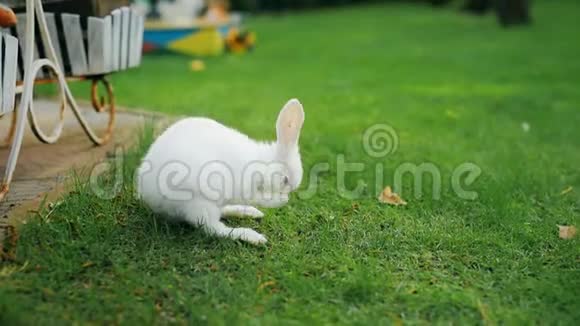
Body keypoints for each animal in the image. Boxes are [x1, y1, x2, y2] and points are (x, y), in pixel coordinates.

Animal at [138, 99, 306, 244]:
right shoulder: (247, 188)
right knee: (214, 228)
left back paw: (251, 213)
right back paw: (253, 237)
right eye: (285, 179)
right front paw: (281, 200)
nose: (288, 194)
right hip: (200, 203)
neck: (262, 166)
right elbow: (262, 198)